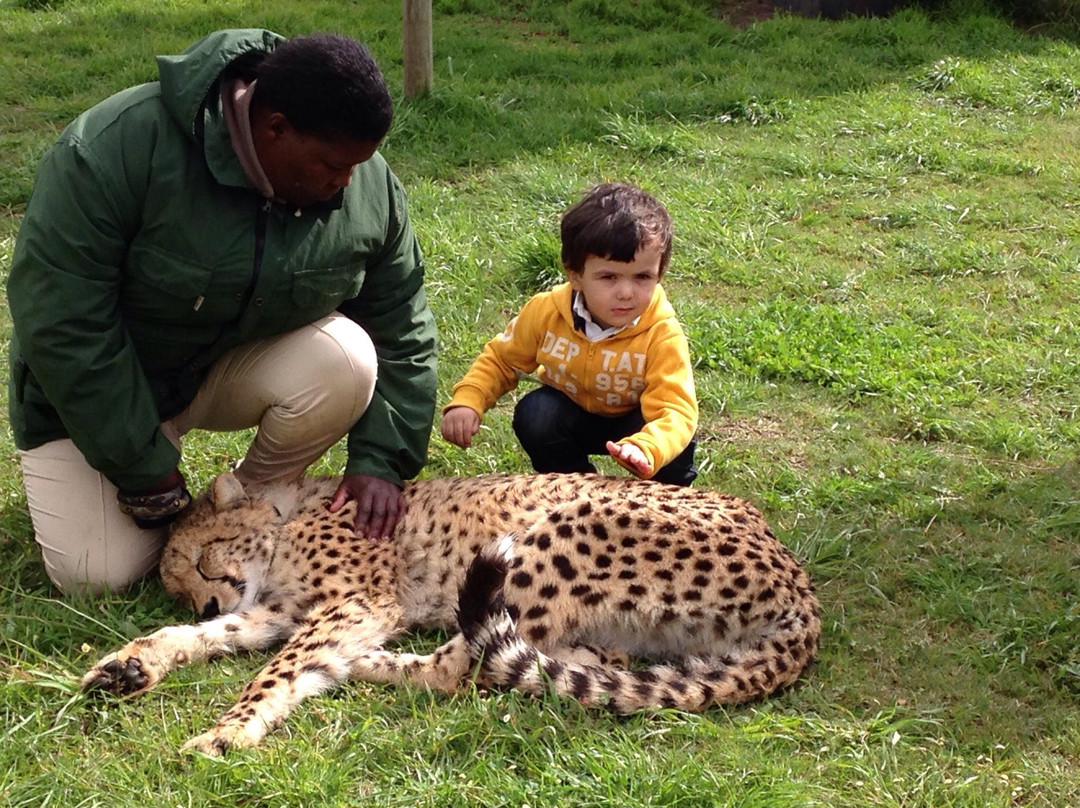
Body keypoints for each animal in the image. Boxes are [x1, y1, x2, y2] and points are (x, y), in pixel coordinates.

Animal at [81, 471, 820, 755]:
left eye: (198, 556)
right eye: (179, 585)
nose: (207, 593)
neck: (289, 517)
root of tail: (802, 594)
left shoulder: (354, 603)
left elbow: (277, 670)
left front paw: (228, 731)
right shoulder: (277, 612)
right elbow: (202, 635)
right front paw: (130, 666)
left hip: (555, 530)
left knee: (462, 666)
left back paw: (370, 663)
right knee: (568, 663)